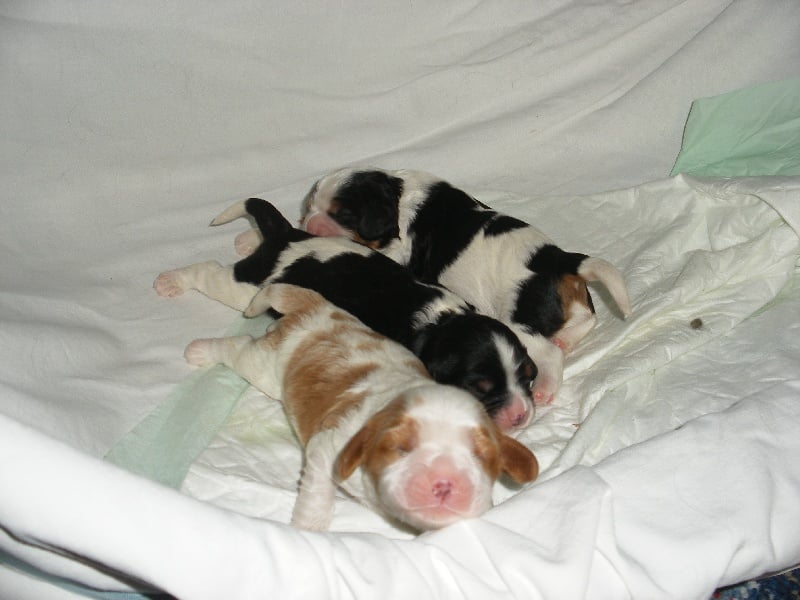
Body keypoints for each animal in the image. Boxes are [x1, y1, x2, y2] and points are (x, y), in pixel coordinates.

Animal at [153, 200, 540, 432]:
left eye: (526, 376)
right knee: (208, 271)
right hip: (246, 285)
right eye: (479, 387)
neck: (442, 324)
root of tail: (288, 235)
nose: (522, 415)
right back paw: (171, 281)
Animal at [184, 284, 540, 532]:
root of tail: (318, 305)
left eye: (480, 457)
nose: (445, 482)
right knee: (237, 347)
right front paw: (307, 528)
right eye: (402, 449)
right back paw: (199, 351)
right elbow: (317, 493)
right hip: (265, 368)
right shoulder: (327, 447)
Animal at [286, 166, 632, 406]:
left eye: (343, 214)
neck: (397, 193)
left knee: (549, 352)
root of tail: (560, 259)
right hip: (572, 299)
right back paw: (567, 339)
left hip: (518, 319)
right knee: (587, 318)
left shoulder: (398, 250)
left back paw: (546, 386)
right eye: (308, 206)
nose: (307, 223)